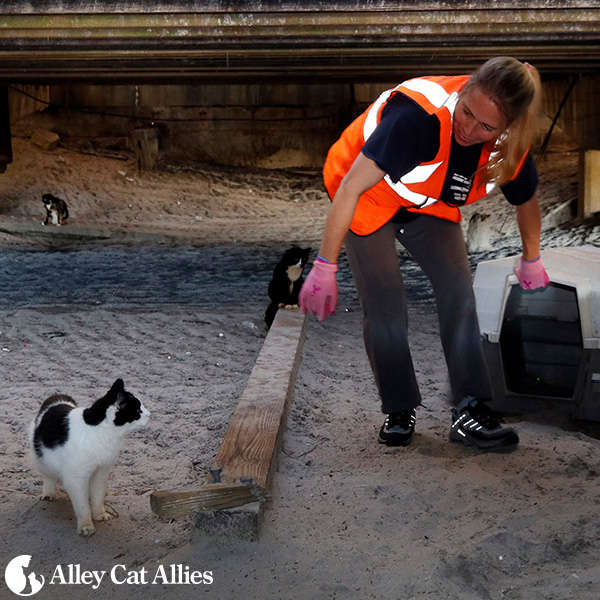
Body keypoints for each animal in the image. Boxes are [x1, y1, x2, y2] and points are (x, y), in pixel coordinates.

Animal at [29, 378, 150, 536]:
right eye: (137, 410)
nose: (150, 414)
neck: (100, 431)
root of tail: (57, 398)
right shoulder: (76, 478)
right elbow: (82, 506)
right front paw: (86, 525)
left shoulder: (101, 472)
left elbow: (98, 496)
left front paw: (99, 514)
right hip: (42, 459)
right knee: (48, 476)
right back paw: (49, 493)